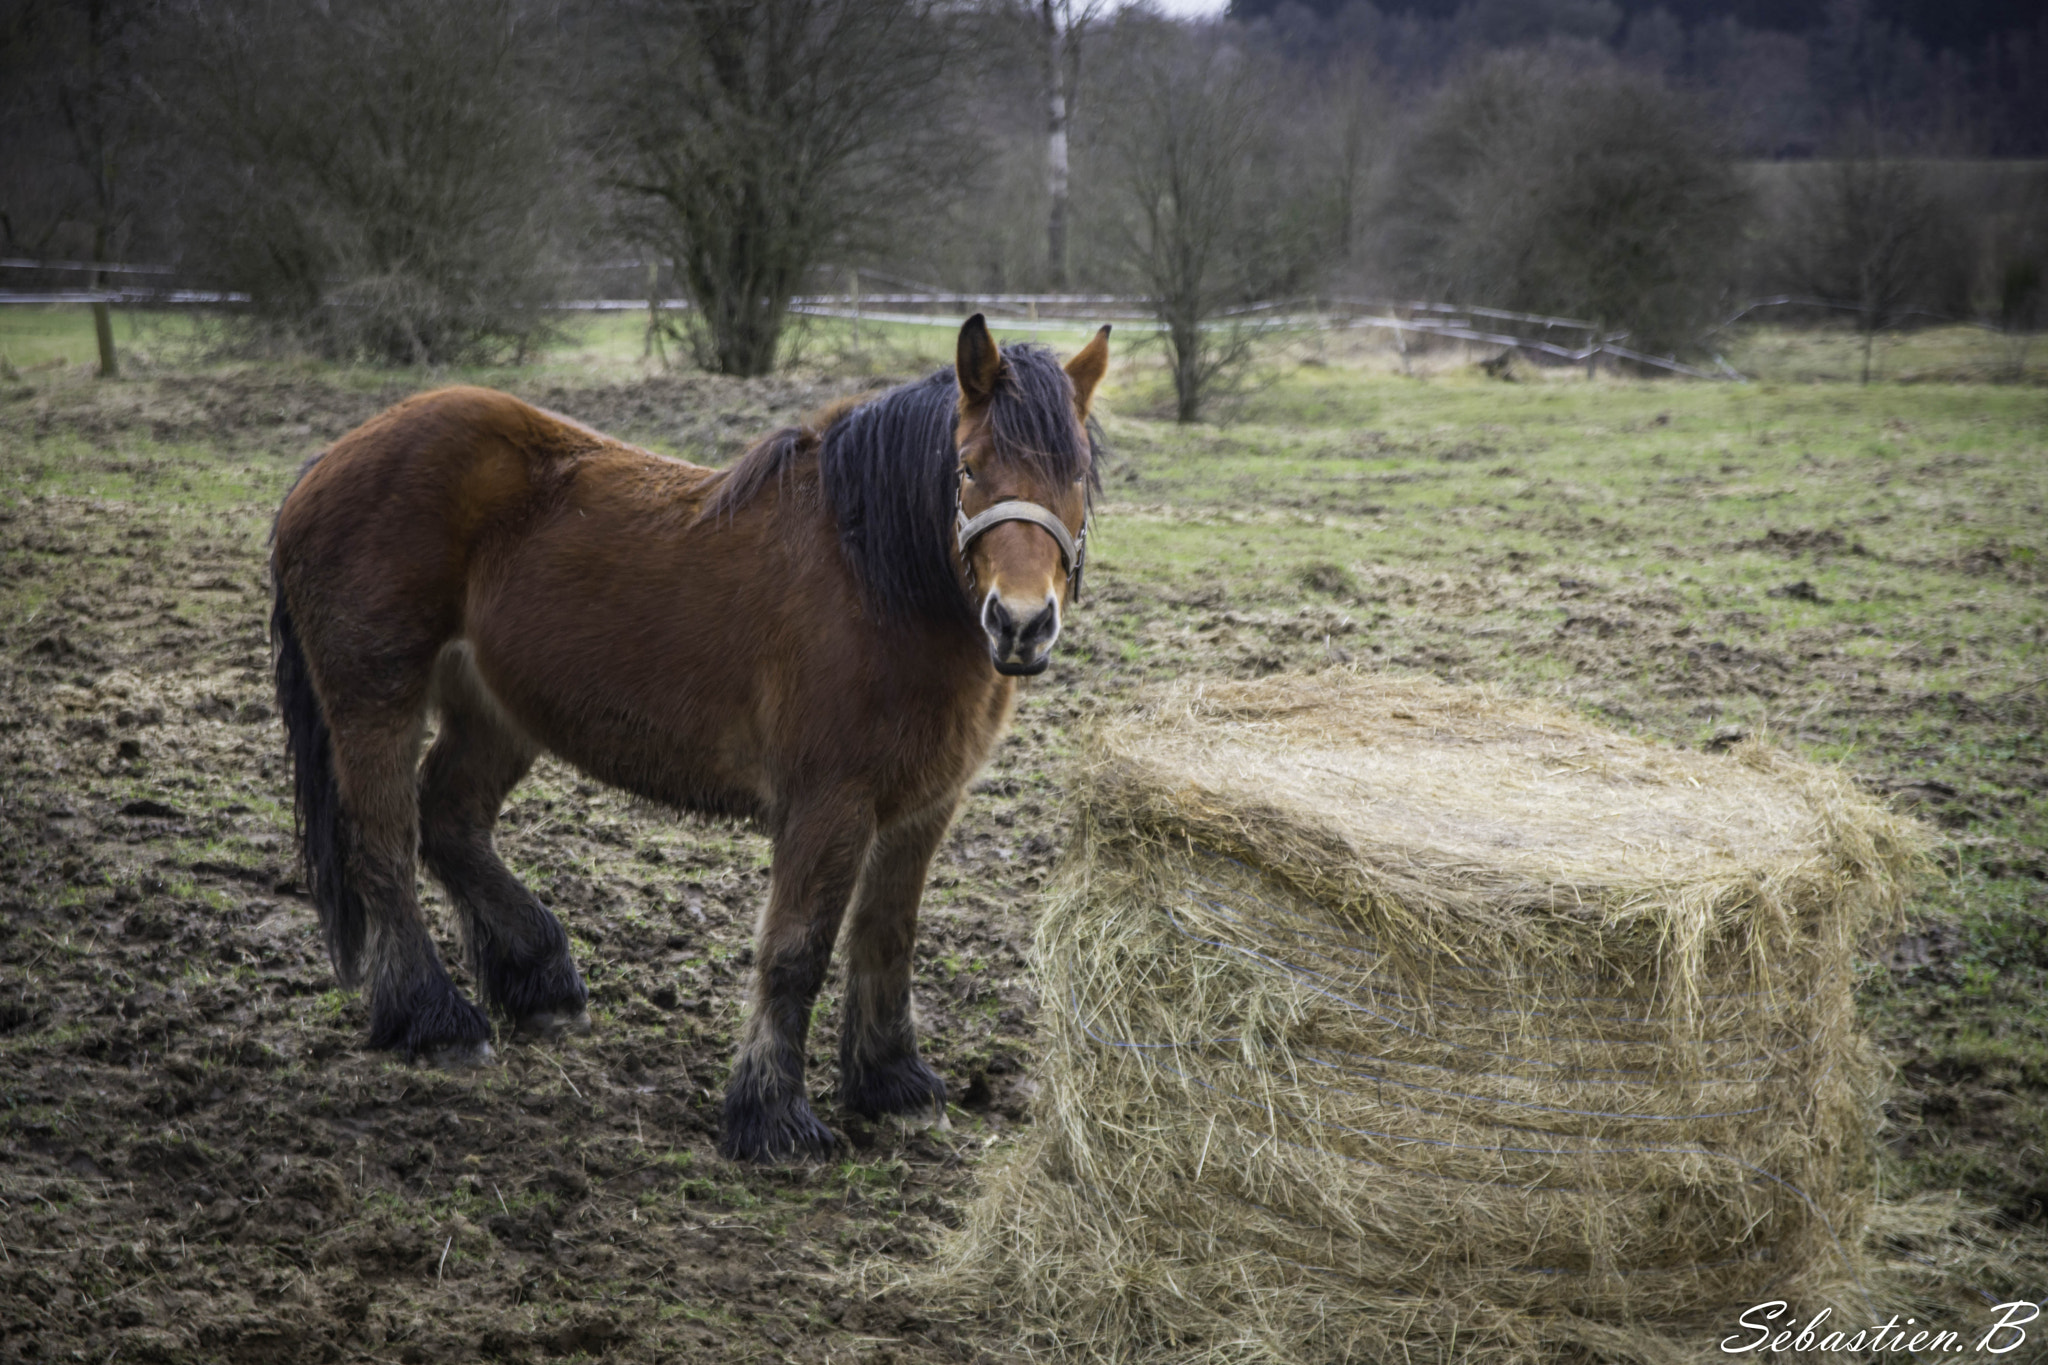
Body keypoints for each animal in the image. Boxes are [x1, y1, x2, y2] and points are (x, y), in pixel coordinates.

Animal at [274, 317, 1114, 1162]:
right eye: (968, 469)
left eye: (1077, 475)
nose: (1020, 624)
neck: (875, 581)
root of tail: (324, 466)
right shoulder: (828, 803)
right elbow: (796, 949)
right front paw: (772, 1116)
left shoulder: (922, 807)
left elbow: (889, 936)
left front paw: (892, 1083)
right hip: (376, 698)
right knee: (384, 844)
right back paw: (434, 1019)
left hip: (499, 710)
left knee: (449, 820)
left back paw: (540, 979)